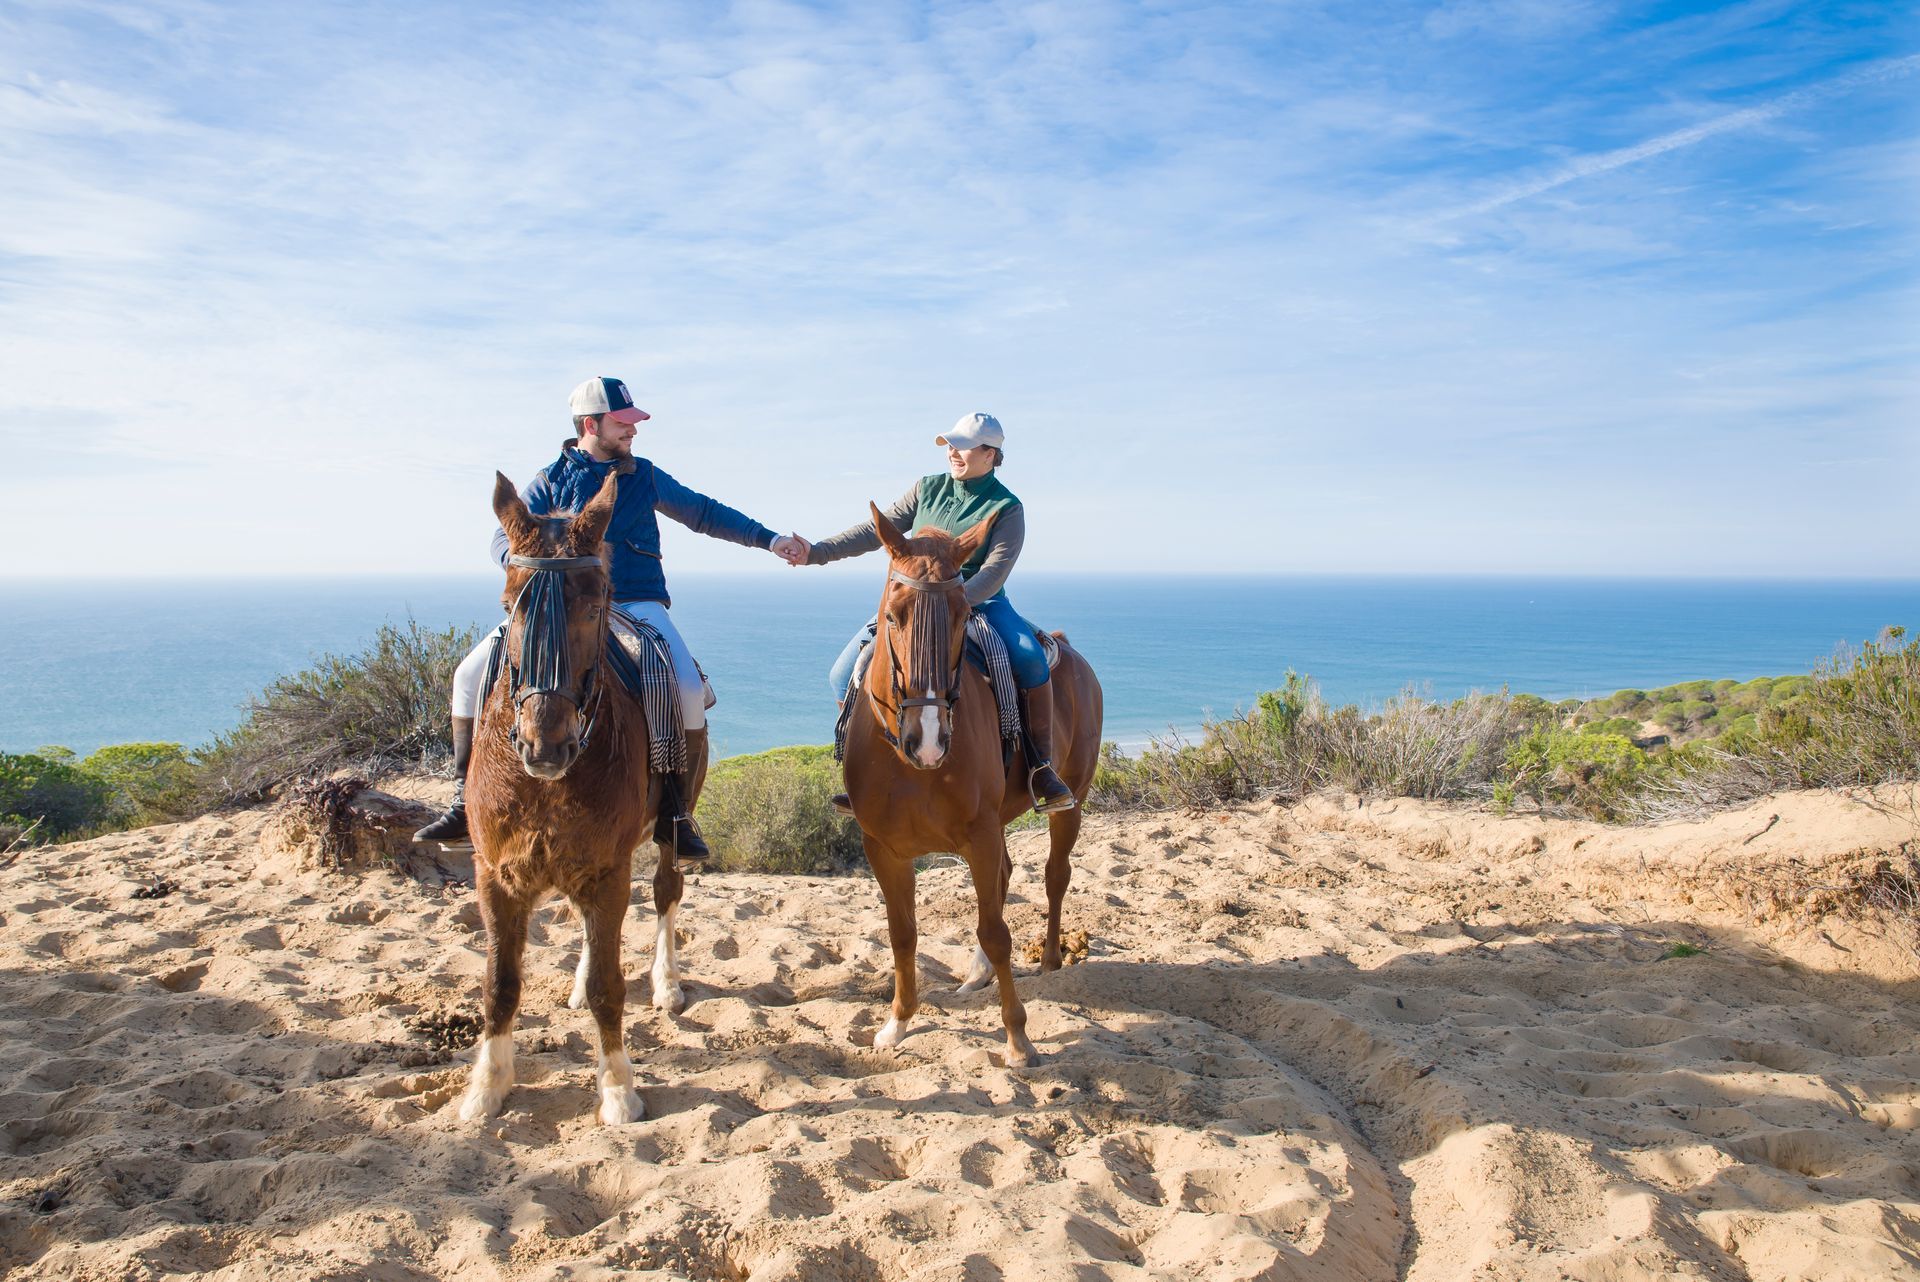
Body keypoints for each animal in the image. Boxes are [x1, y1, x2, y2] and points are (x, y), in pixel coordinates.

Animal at [458, 471, 703, 1125]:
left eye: (593, 607)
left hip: (668, 833)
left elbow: (608, 988)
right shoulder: (495, 875)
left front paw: (617, 1090)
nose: (546, 744)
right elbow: (499, 983)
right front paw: (486, 1087)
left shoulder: (609, 870)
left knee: (665, 893)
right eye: (510, 606)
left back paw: (667, 984)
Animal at [842, 503, 1104, 1067]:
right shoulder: (882, 848)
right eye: (892, 616)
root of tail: (1066, 647)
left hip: (1069, 803)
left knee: (1055, 875)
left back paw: (1050, 959)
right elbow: (902, 933)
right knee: (1005, 879)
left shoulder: (980, 835)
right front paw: (897, 1023)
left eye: (964, 615)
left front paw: (1018, 1038)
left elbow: (997, 931)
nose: (927, 741)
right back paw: (977, 975)